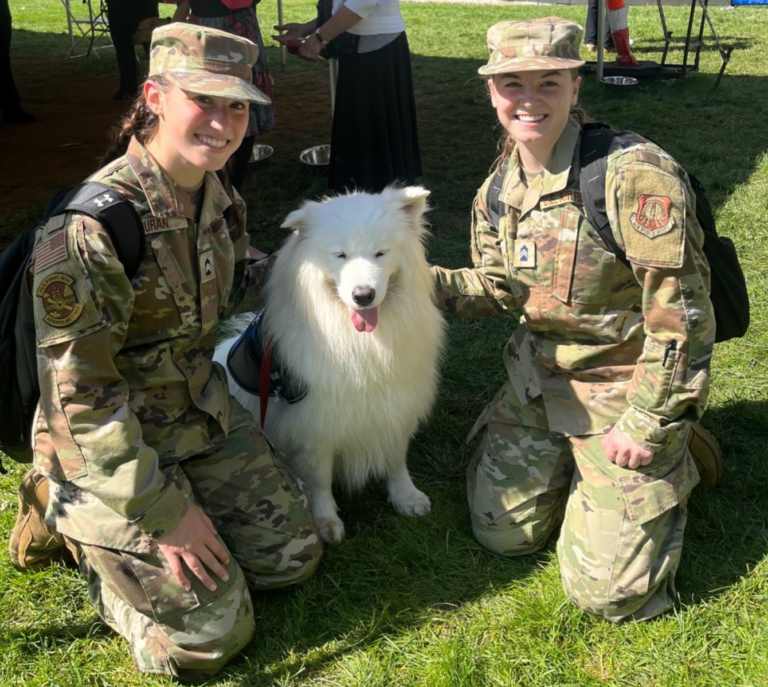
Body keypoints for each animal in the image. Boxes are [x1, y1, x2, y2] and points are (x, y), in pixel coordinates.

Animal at [213, 187, 448, 544]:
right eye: (340, 255)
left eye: (380, 253)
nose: (363, 295)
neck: (365, 344)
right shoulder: (316, 423)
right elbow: (320, 478)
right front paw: (326, 522)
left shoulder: (395, 405)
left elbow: (396, 459)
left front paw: (406, 497)